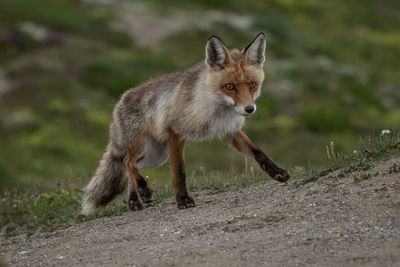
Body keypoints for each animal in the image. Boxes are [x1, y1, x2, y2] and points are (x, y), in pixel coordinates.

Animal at [82, 32, 290, 216]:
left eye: (252, 85)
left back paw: (135, 199)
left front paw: (277, 172)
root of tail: (120, 100)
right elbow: (179, 172)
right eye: (230, 87)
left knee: (130, 169)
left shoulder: (231, 131)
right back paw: (143, 190)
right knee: (127, 162)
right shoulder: (176, 132)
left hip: (156, 155)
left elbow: (258, 152)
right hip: (145, 148)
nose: (249, 109)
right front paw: (182, 199)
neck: (216, 109)